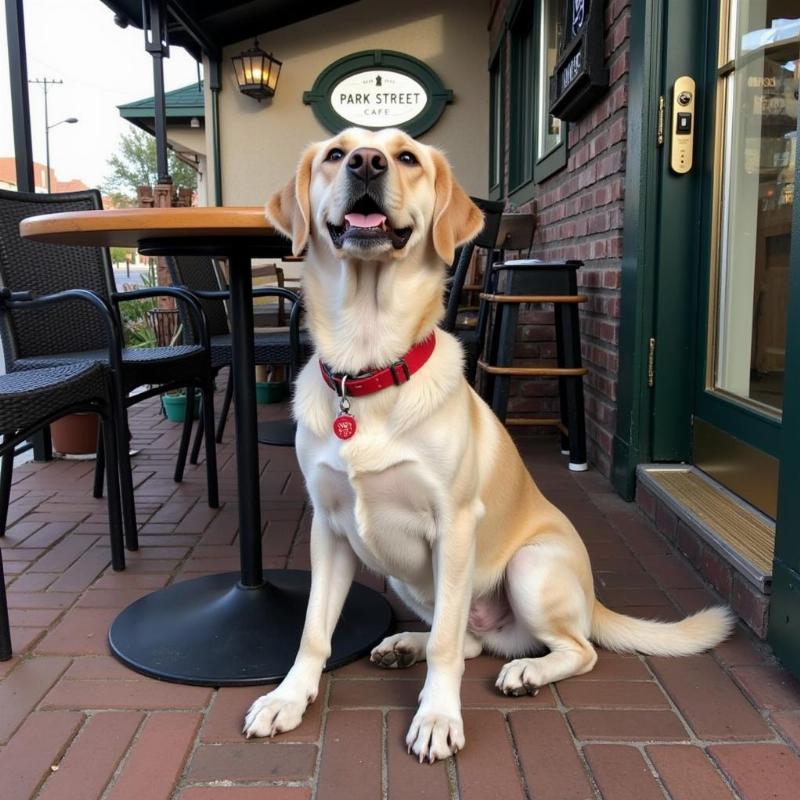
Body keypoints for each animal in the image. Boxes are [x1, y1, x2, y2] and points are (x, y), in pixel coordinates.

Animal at [242, 126, 732, 764]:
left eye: (406, 157)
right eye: (334, 154)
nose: (366, 163)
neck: (368, 368)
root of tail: (593, 598)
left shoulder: (454, 526)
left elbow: (447, 646)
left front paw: (437, 717)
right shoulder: (328, 528)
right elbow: (313, 631)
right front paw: (288, 697)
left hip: (529, 568)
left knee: (571, 649)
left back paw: (526, 672)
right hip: (409, 577)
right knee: (472, 638)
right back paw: (405, 642)